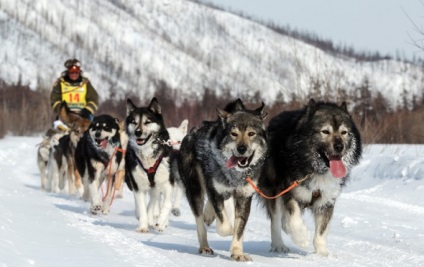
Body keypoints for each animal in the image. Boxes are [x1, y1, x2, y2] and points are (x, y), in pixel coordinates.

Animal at [125, 97, 173, 233]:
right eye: (134, 122)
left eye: (147, 122)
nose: (138, 132)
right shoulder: (138, 186)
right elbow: (142, 207)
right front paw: (143, 226)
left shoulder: (167, 183)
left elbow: (168, 204)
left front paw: (161, 222)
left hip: (156, 186)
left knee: (153, 201)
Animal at [173, 99, 266, 262]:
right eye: (234, 134)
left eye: (251, 133)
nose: (242, 148)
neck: (235, 174)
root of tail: (192, 133)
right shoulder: (214, 190)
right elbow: (226, 226)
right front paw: (229, 230)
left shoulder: (244, 197)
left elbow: (239, 228)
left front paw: (237, 252)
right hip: (195, 188)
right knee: (200, 220)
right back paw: (204, 245)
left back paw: (209, 215)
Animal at [258, 99, 362, 256]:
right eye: (325, 131)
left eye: (344, 132)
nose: (339, 146)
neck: (317, 169)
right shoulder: (289, 191)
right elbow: (294, 218)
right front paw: (302, 237)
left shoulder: (327, 200)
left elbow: (321, 231)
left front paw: (321, 253)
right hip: (273, 191)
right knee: (275, 221)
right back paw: (279, 245)